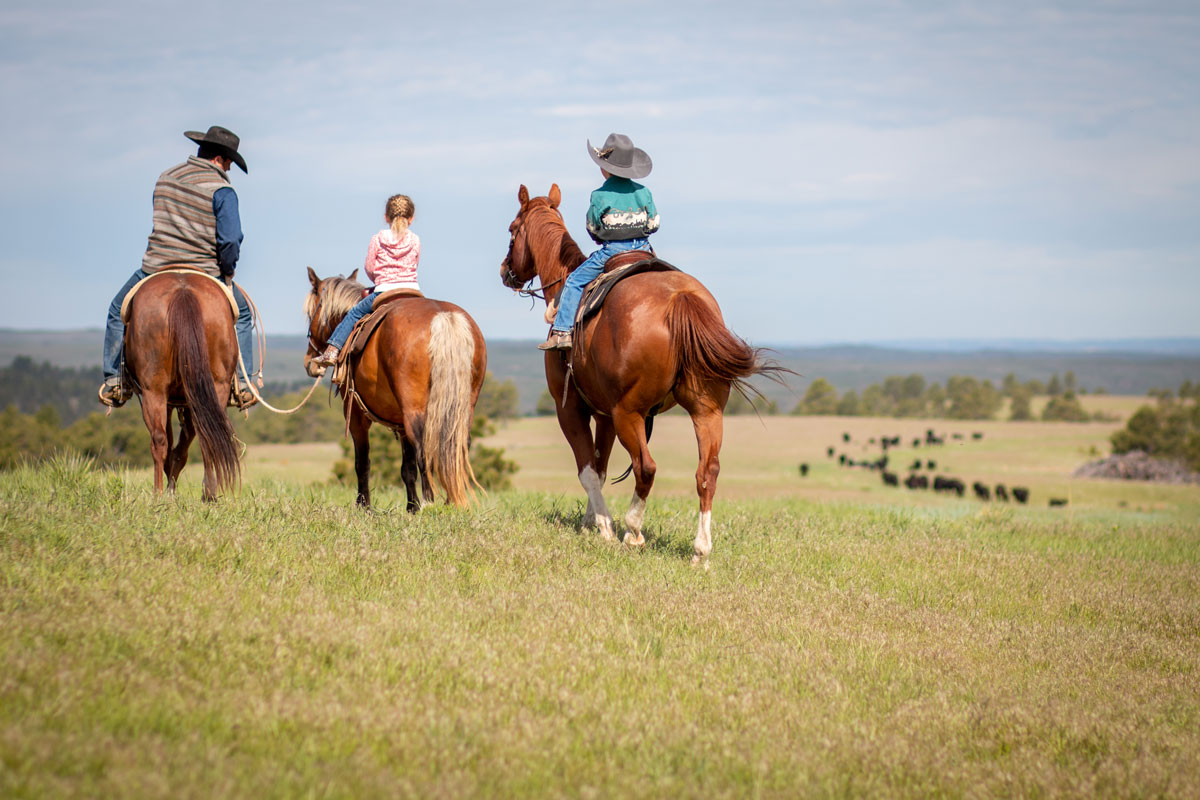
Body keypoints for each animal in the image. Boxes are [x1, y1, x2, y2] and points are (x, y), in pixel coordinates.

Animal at [124, 272, 241, 503]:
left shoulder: (170, 400)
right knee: (207, 436)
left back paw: (158, 494)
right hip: (216, 386)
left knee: (159, 439)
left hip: (154, 390)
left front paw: (170, 485)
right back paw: (209, 493)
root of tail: (183, 291)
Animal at [302, 266, 484, 510]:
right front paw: (412, 507)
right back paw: (450, 502)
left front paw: (364, 506)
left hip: (415, 410)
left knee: (425, 450)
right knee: (456, 448)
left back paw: (430, 503)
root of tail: (443, 317)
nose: (310, 362)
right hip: (462, 409)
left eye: (311, 313)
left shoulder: (356, 414)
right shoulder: (401, 422)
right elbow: (407, 469)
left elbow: (362, 462)